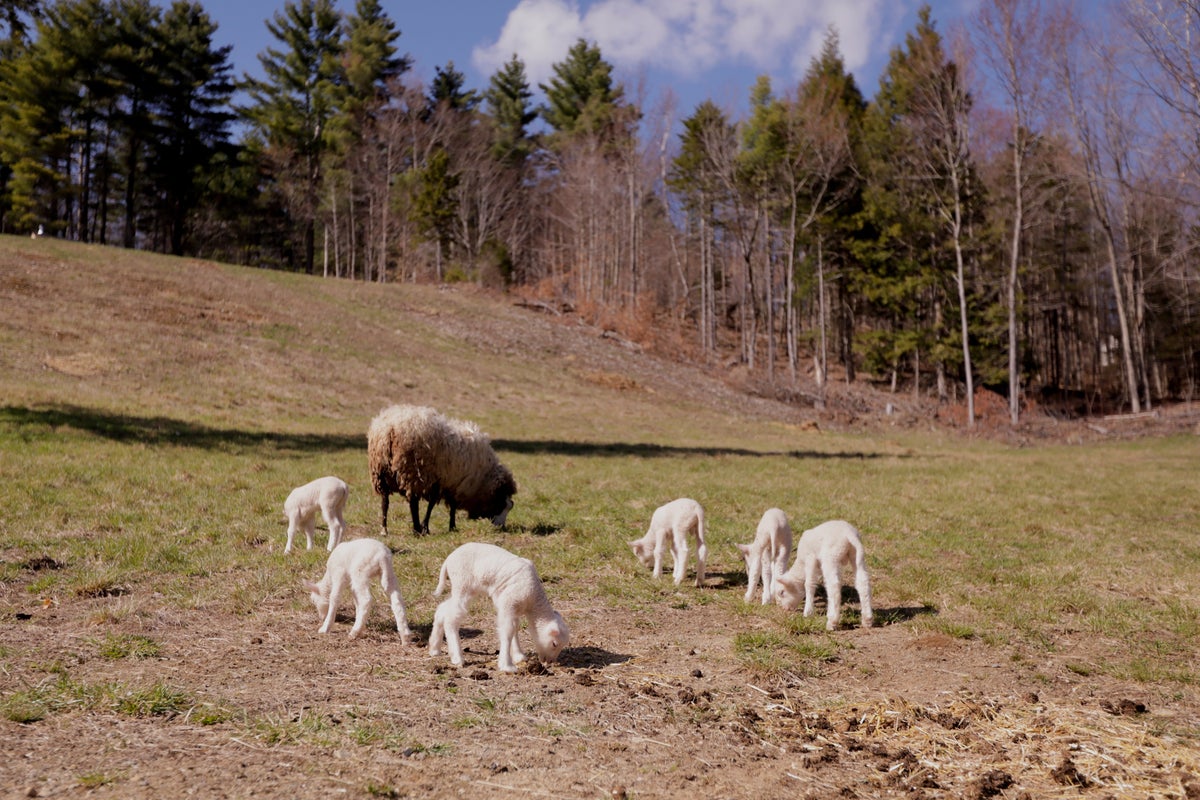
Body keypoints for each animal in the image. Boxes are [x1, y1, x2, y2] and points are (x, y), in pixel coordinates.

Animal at [367, 404, 517, 536]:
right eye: (500, 505)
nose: (501, 527)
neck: (484, 478)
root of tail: (389, 429)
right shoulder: (449, 483)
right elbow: (438, 505)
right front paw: (430, 527)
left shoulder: (448, 483)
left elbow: (448, 506)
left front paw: (450, 527)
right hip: (412, 473)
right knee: (413, 504)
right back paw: (416, 530)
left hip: (380, 474)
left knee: (385, 502)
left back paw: (384, 530)